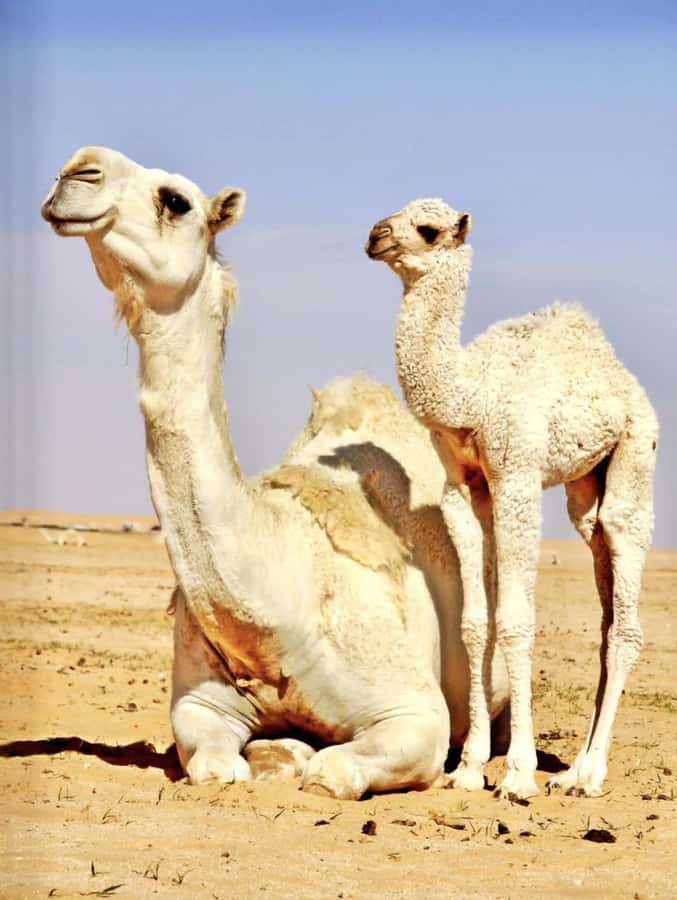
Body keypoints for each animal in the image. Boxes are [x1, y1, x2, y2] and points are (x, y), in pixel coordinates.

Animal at [41, 149, 509, 799]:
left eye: (176, 201)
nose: (78, 170)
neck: (273, 618)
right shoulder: (198, 707)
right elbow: (219, 763)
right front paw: (275, 750)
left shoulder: (416, 713)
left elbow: (331, 769)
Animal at [366, 198, 658, 799]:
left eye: (427, 230)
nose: (375, 236)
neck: (471, 395)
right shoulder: (463, 490)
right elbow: (475, 623)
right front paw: (469, 768)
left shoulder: (517, 478)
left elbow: (517, 621)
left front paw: (518, 773)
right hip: (584, 491)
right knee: (601, 581)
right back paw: (571, 770)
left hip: (635, 454)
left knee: (625, 600)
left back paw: (590, 776)